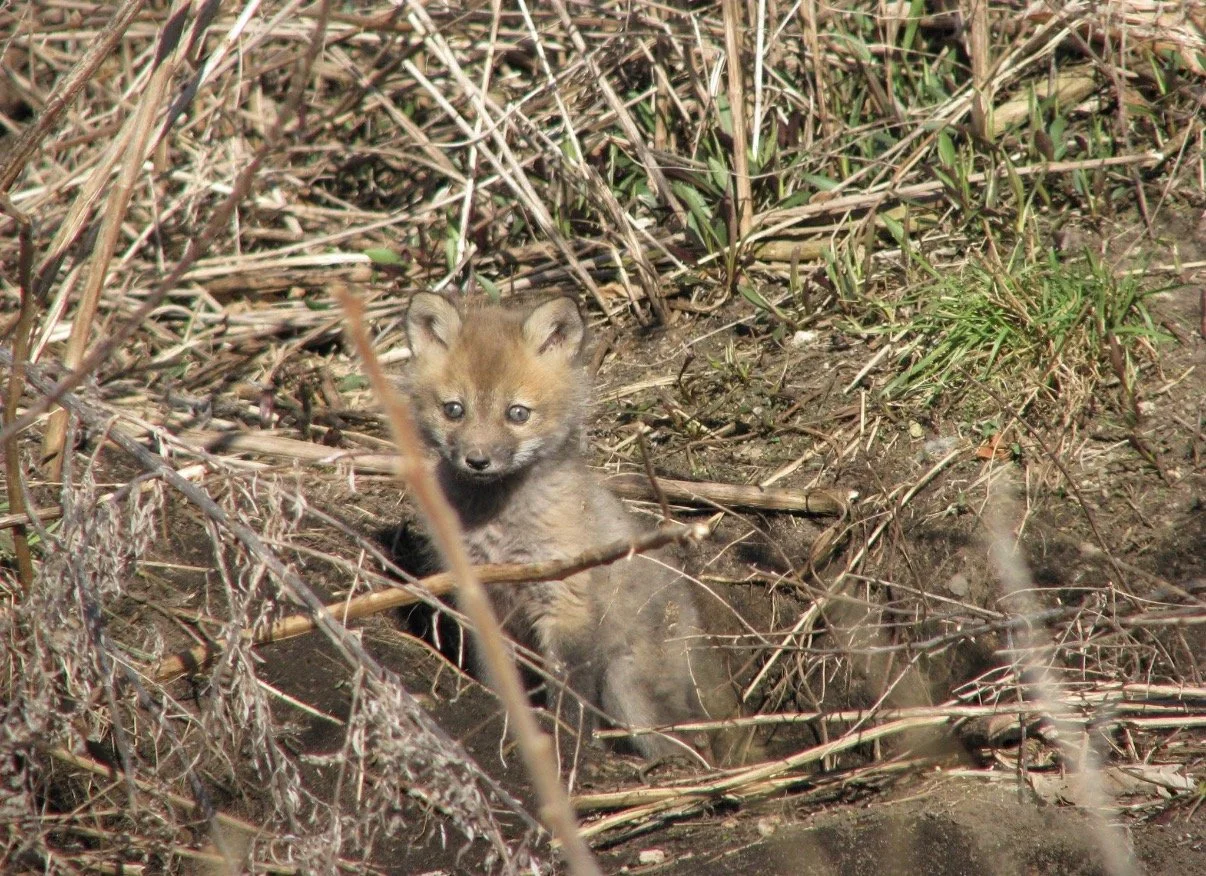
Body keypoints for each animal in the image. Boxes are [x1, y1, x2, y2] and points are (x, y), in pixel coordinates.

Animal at [404, 291, 749, 763]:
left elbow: (568, 693)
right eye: (454, 410)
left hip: (625, 685)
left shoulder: (566, 602)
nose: (477, 461)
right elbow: (498, 679)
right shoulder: (482, 599)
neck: (499, 528)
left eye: (517, 414)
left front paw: (567, 741)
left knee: (691, 745)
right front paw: (506, 718)